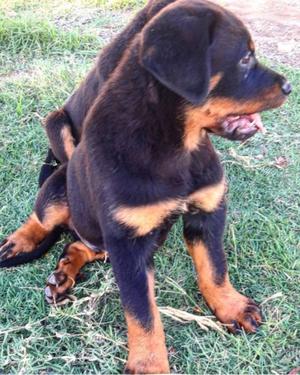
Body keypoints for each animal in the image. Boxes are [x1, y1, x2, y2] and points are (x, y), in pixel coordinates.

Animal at [0, 0, 290, 374]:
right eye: (244, 59)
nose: (289, 87)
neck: (177, 146)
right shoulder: (129, 245)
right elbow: (142, 312)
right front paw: (150, 364)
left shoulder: (206, 212)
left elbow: (214, 268)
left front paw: (232, 307)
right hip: (61, 186)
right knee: (42, 218)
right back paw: (19, 243)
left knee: (79, 245)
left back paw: (63, 275)